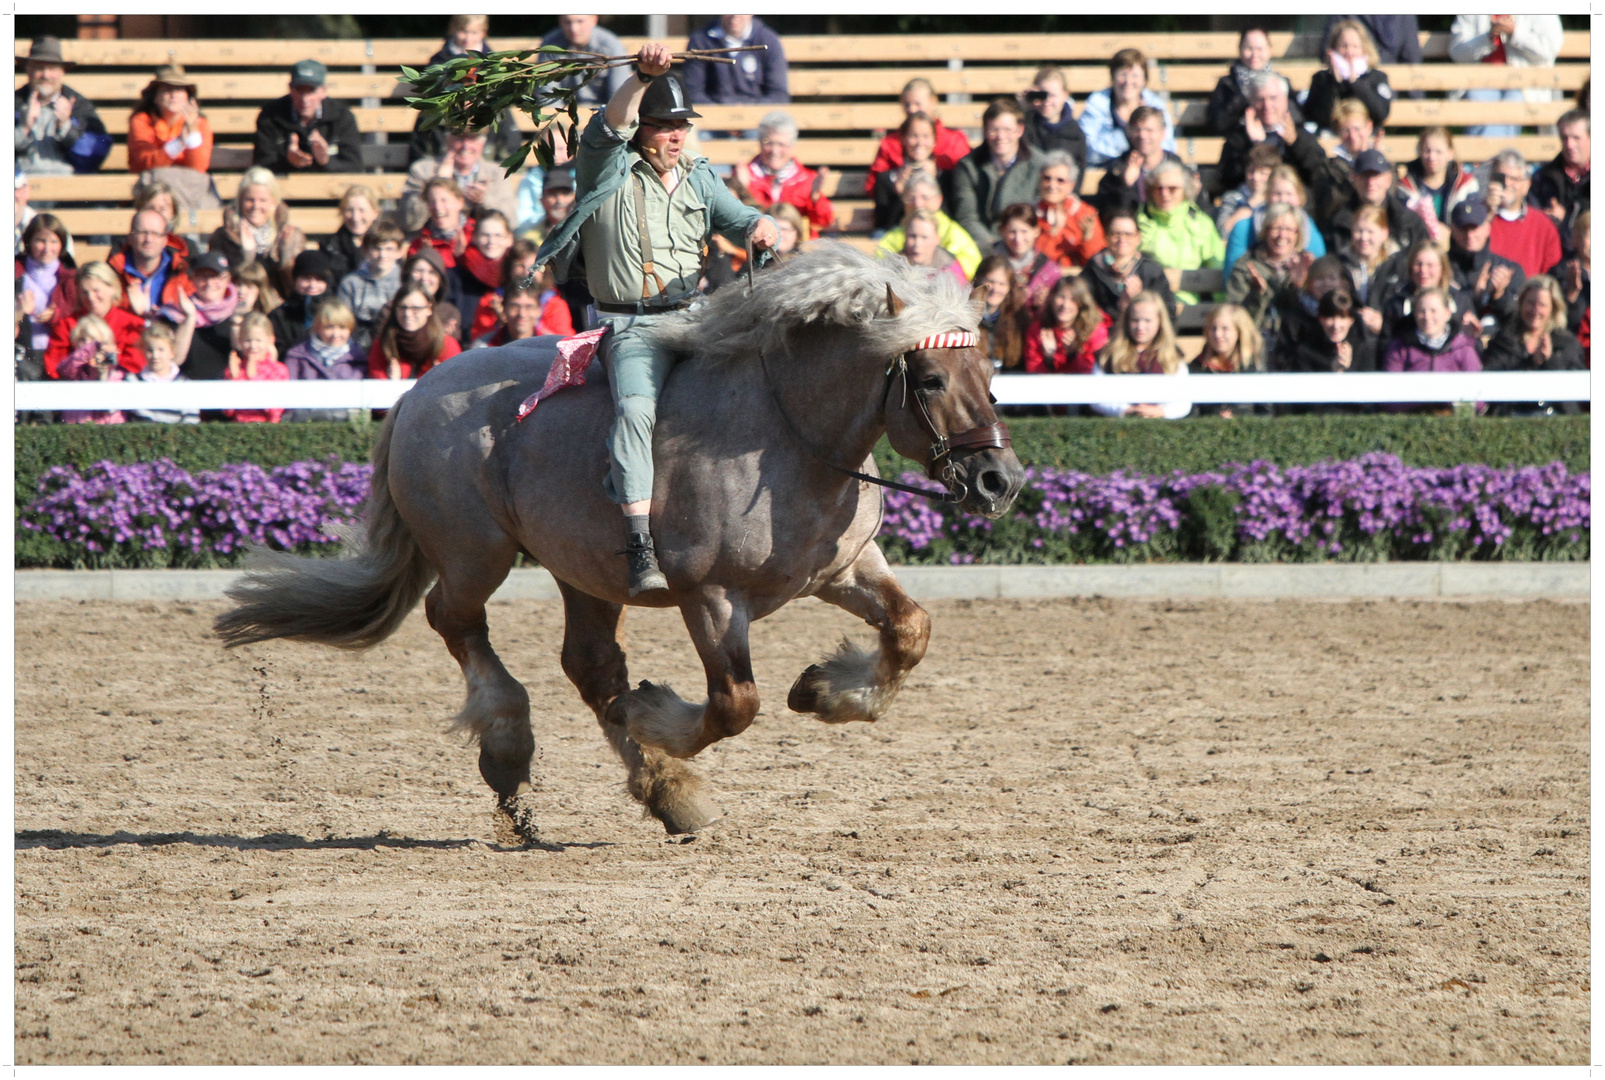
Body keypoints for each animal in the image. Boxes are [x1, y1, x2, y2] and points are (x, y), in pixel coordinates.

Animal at [213, 243, 1020, 840]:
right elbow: (733, 704)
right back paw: (513, 750)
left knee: (589, 663)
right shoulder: (709, 598)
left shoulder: (845, 570)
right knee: (456, 621)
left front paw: (824, 688)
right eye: (930, 377)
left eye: (990, 371)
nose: (998, 480)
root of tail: (418, 389)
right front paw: (655, 712)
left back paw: (663, 789)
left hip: (581, 573)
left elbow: (911, 631)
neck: (785, 437)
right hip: (478, 554)